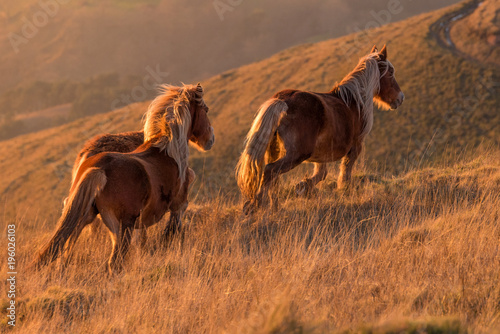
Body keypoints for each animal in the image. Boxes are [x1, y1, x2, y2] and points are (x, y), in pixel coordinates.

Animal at [36, 83, 213, 274]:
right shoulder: (178, 206)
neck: (167, 150)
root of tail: (98, 167)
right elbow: (172, 233)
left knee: (65, 253)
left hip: (85, 217)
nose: (210, 140)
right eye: (206, 110)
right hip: (122, 226)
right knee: (115, 262)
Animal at [236, 44, 404, 213]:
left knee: (273, 179)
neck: (355, 101)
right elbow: (345, 174)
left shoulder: (322, 154)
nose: (400, 98)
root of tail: (283, 100)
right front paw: (343, 191)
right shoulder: (355, 147)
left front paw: (303, 186)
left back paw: (275, 207)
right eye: (391, 72)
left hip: (274, 150)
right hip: (296, 154)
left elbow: (321, 174)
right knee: (270, 171)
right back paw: (255, 205)